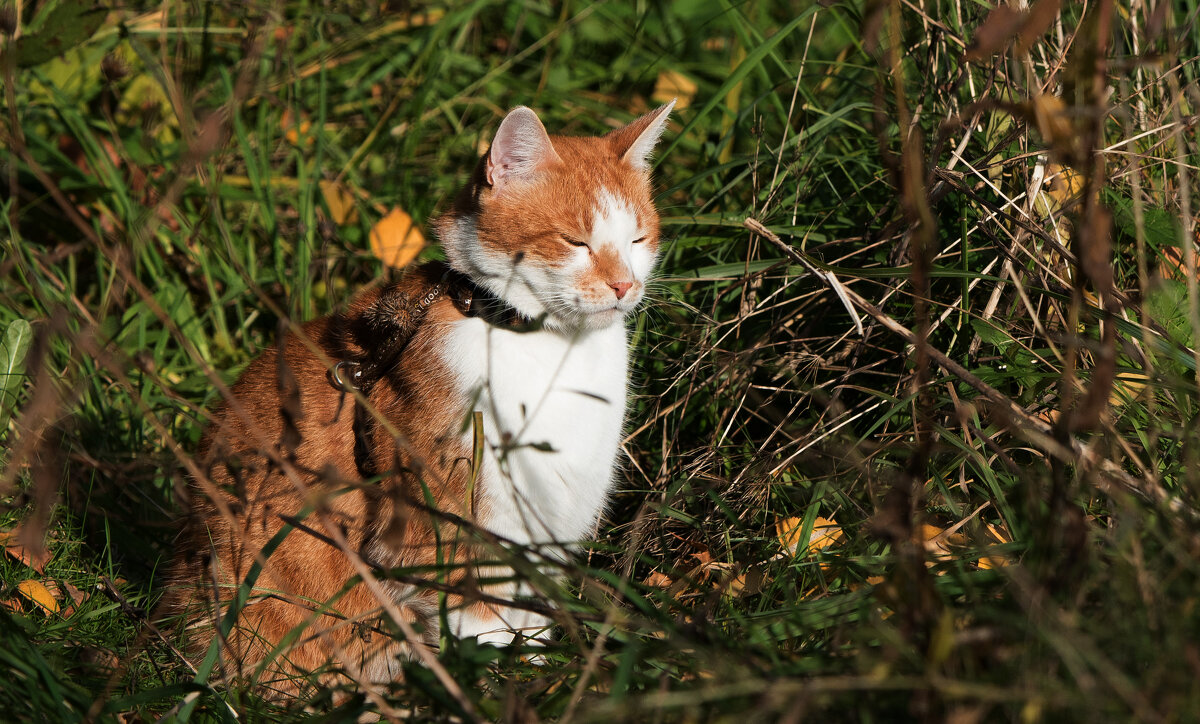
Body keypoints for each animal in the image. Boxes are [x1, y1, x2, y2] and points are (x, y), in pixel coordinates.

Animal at [166, 102, 676, 696]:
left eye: (638, 240)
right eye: (576, 242)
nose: (623, 286)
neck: (548, 345)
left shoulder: (546, 531)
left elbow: (531, 626)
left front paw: (538, 679)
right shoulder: (451, 533)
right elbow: (482, 631)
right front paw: (495, 694)